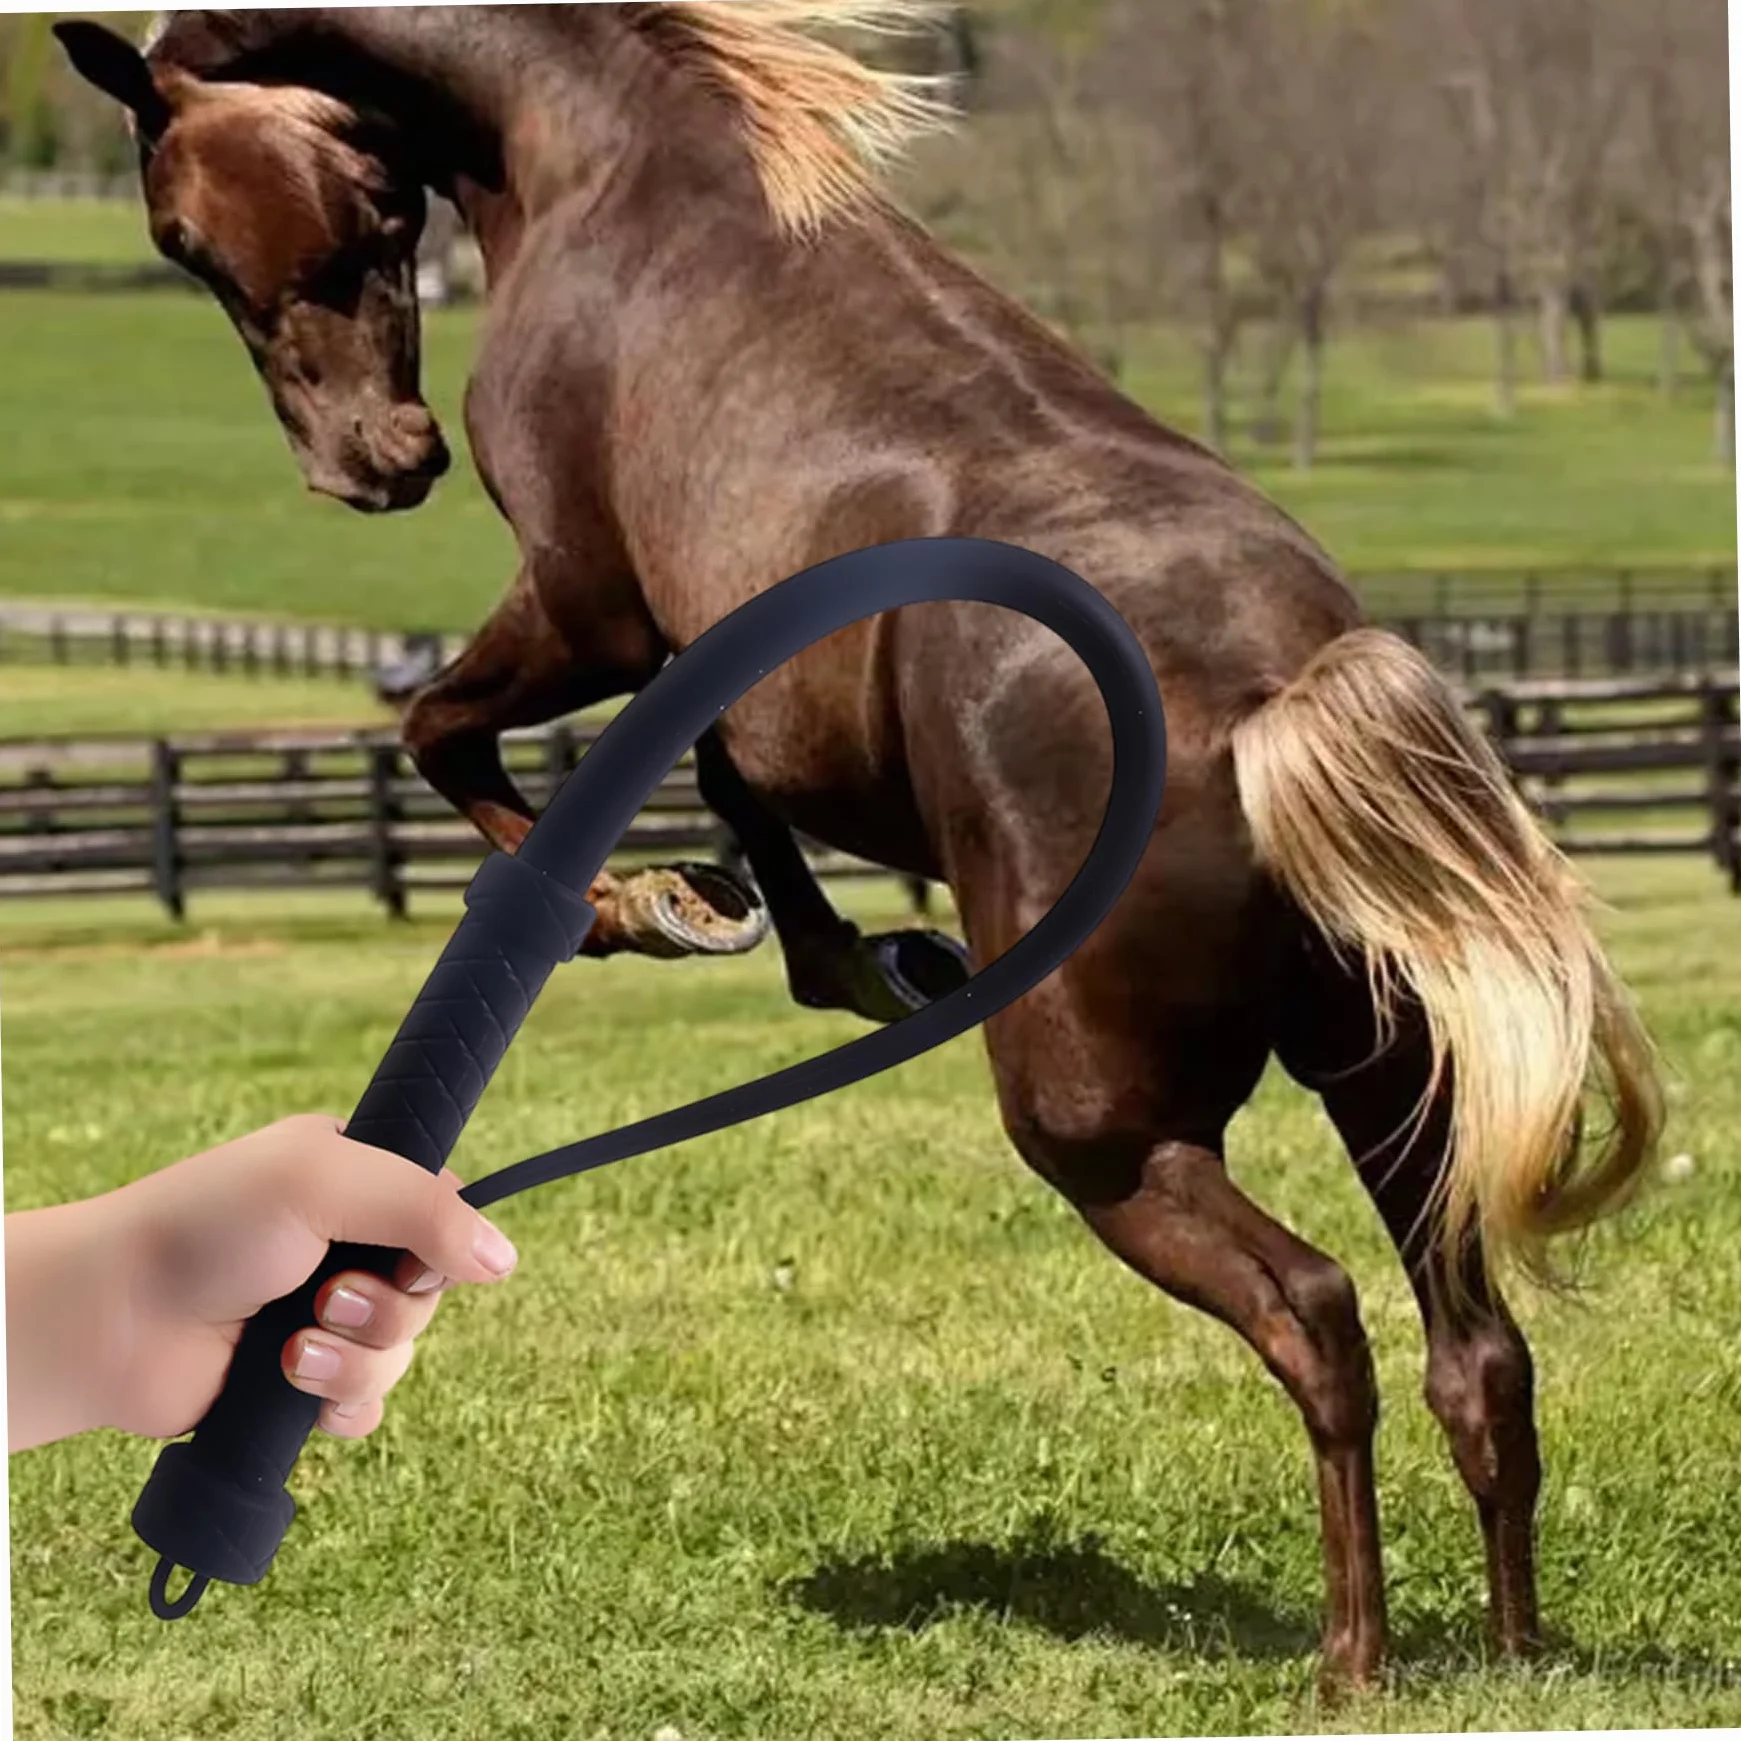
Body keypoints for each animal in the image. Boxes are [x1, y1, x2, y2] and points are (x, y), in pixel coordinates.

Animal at [56, 3, 1666, 1693]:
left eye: (181, 232)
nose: (371, 463)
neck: (608, 159)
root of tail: (1277, 698)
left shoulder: (586, 604)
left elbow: (461, 740)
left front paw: (645, 910)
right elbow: (720, 773)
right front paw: (832, 946)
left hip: (1107, 1139)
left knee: (1315, 1314)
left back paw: (1352, 1659)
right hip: (1390, 1081)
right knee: (1476, 1352)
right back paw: (1513, 1650)